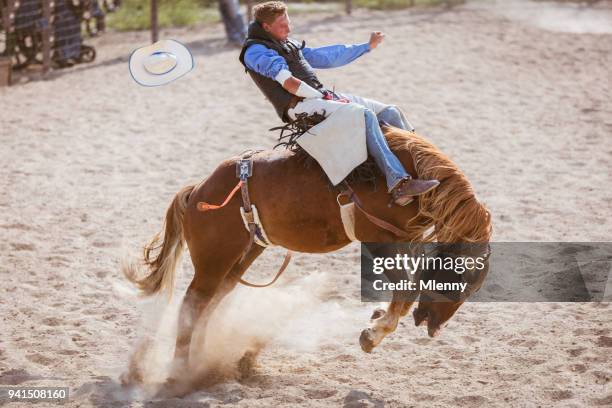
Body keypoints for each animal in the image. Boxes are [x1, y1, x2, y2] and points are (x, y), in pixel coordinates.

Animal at [123, 126, 492, 384]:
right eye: (461, 276)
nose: (434, 328)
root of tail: (198, 190)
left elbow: (407, 291)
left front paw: (374, 320)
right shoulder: (376, 238)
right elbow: (407, 291)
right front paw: (371, 335)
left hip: (243, 254)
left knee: (212, 302)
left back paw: (207, 362)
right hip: (214, 260)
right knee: (194, 303)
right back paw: (179, 371)